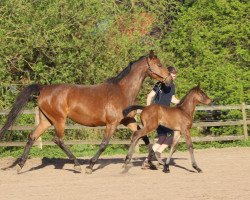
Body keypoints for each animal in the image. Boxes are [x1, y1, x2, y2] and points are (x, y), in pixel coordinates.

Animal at [0, 50, 172, 173]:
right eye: (159, 64)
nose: (170, 80)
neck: (122, 92)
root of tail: (44, 89)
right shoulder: (112, 123)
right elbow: (104, 144)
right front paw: (90, 166)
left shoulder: (127, 121)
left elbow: (144, 137)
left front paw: (153, 162)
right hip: (59, 120)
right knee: (58, 140)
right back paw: (77, 165)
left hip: (46, 120)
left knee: (32, 137)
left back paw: (20, 166)